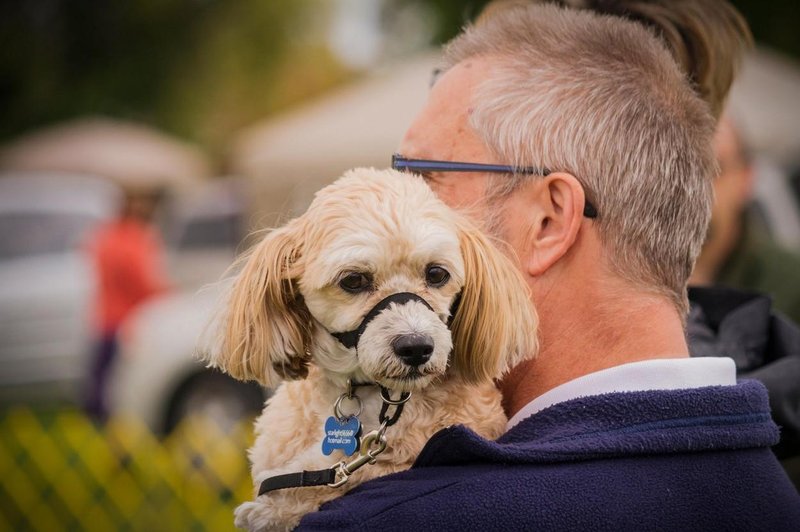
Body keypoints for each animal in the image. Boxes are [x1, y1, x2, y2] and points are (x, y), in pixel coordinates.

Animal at [209, 169, 540, 532]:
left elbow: (350, 474)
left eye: (437, 273)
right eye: (353, 280)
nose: (416, 347)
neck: (369, 395)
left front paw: (271, 509)